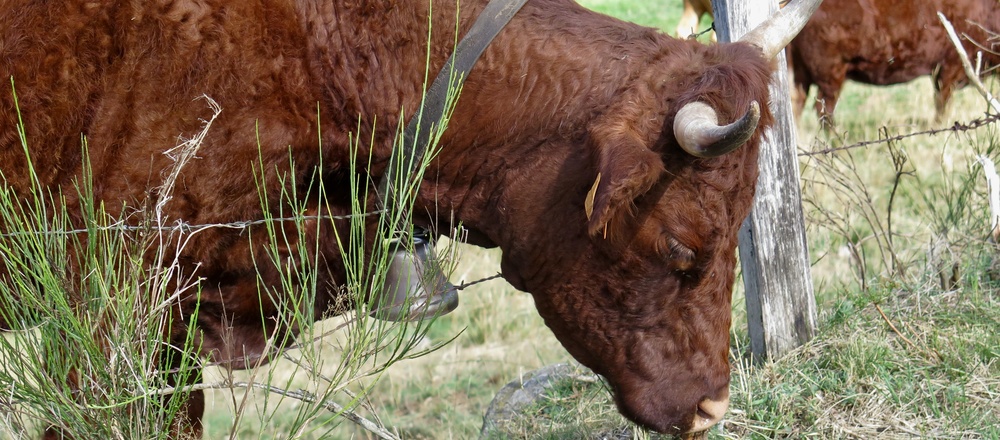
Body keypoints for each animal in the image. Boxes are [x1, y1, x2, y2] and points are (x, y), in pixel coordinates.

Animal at [788, 0, 1000, 127]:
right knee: (824, 110)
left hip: (802, 74)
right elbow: (942, 106)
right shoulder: (949, 69)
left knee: (797, 103)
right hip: (830, 74)